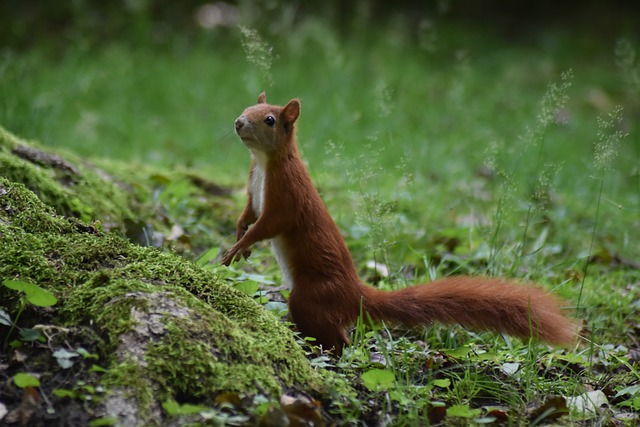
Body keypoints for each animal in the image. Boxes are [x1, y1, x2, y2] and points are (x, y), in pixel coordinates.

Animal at [221, 93, 576, 354]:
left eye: (269, 119)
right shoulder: (253, 188)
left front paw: (239, 246)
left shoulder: (288, 196)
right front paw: (239, 234)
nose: (237, 122)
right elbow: (249, 213)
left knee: (338, 339)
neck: (264, 163)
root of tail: (355, 294)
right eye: (246, 108)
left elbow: (269, 225)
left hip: (311, 297)